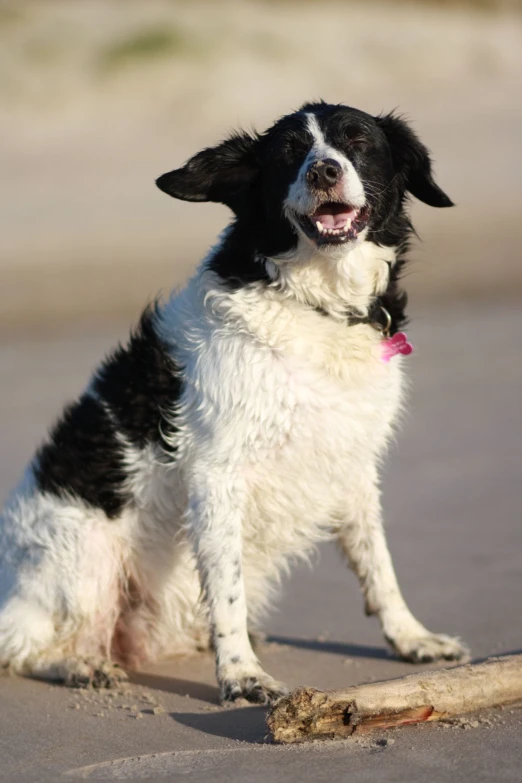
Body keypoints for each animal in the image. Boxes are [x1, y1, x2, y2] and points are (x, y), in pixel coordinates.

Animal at [0, 99, 468, 704]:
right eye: (289, 154)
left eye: (359, 142)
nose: (324, 171)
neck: (316, 302)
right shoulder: (216, 472)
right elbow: (226, 587)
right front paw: (242, 676)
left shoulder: (351, 464)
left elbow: (378, 566)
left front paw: (412, 640)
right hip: (83, 555)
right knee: (26, 647)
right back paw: (81, 666)